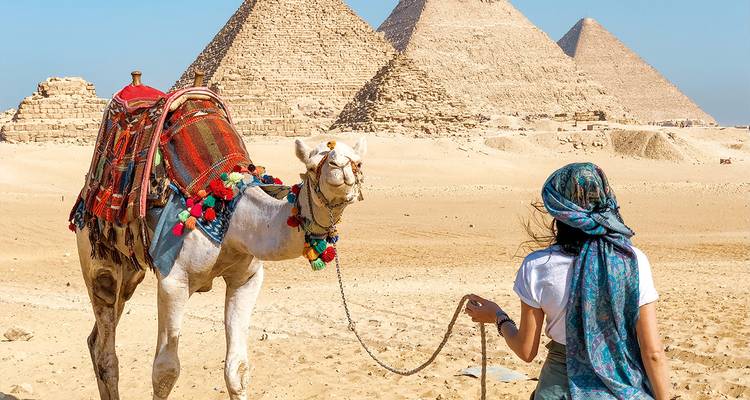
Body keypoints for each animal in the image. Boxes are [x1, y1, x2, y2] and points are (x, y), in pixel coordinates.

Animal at [75, 137, 367, 400]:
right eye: (312, 164)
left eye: (358, 161)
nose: (341, 167)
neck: (236, 219)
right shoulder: (173, 282)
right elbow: (165, 372)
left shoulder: (246, 279)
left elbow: (237, 370)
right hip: (97, 259)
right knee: (106, 351)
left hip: (130, 272)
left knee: (95, 339)